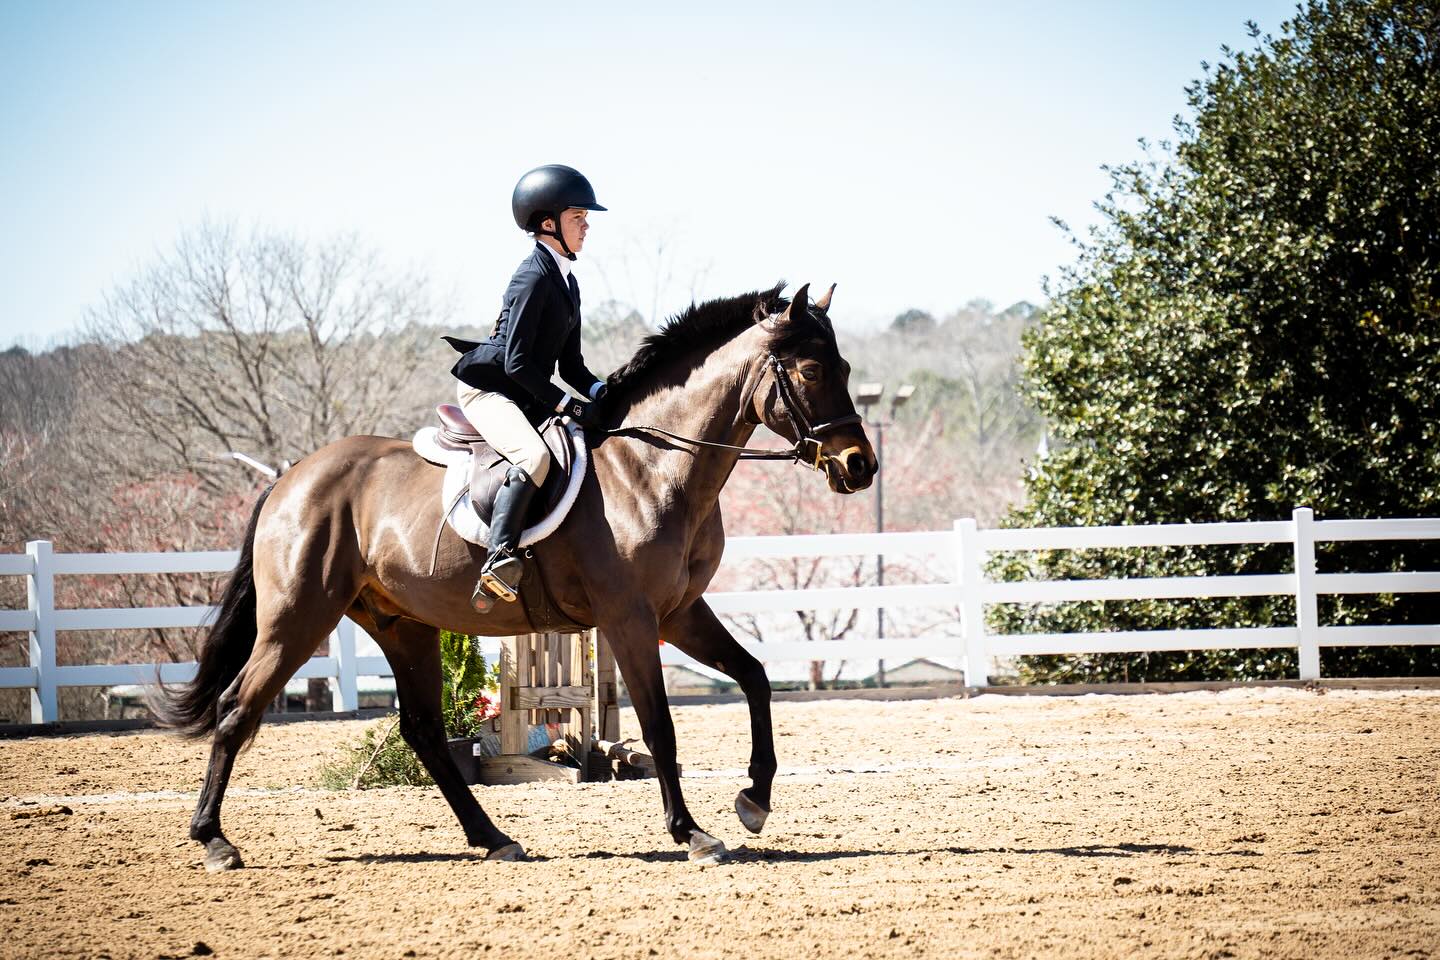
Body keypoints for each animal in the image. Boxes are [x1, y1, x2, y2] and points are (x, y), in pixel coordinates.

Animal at [155, 281, 877, 869]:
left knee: (423, 731)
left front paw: (754, 799)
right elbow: (660, 725)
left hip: (401, 623)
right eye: (812, 369)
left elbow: (754, 677)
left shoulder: (677, 613)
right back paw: (214, 841)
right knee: (237, 709)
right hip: (297, 618)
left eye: (843, 366)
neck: (653, 467)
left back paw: (494, 839)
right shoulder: (630, 618)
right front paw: (692, 833)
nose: (860, 466)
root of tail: (290, 479)